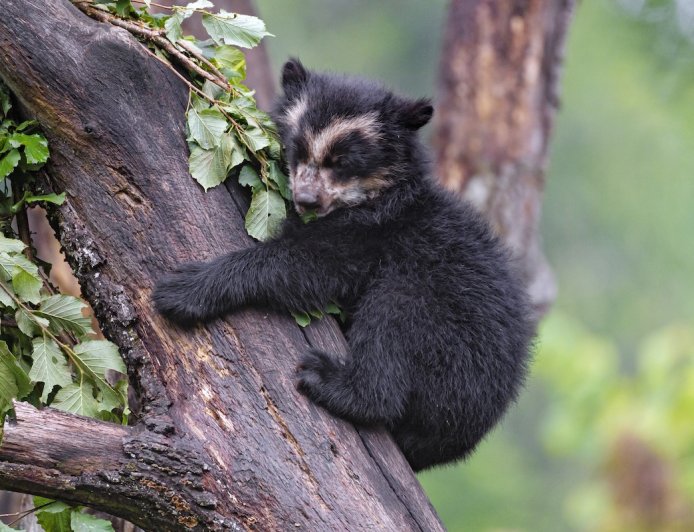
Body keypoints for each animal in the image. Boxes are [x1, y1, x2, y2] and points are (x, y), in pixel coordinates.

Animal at [153, 59, 535, 472]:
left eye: (343, 162)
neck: (371, 197)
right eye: (298, 149)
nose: (306, 199)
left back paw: (329, 380)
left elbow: (304, 266)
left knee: (393, 323)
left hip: (446, 337)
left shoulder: (371, 234)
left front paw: (184, 288)